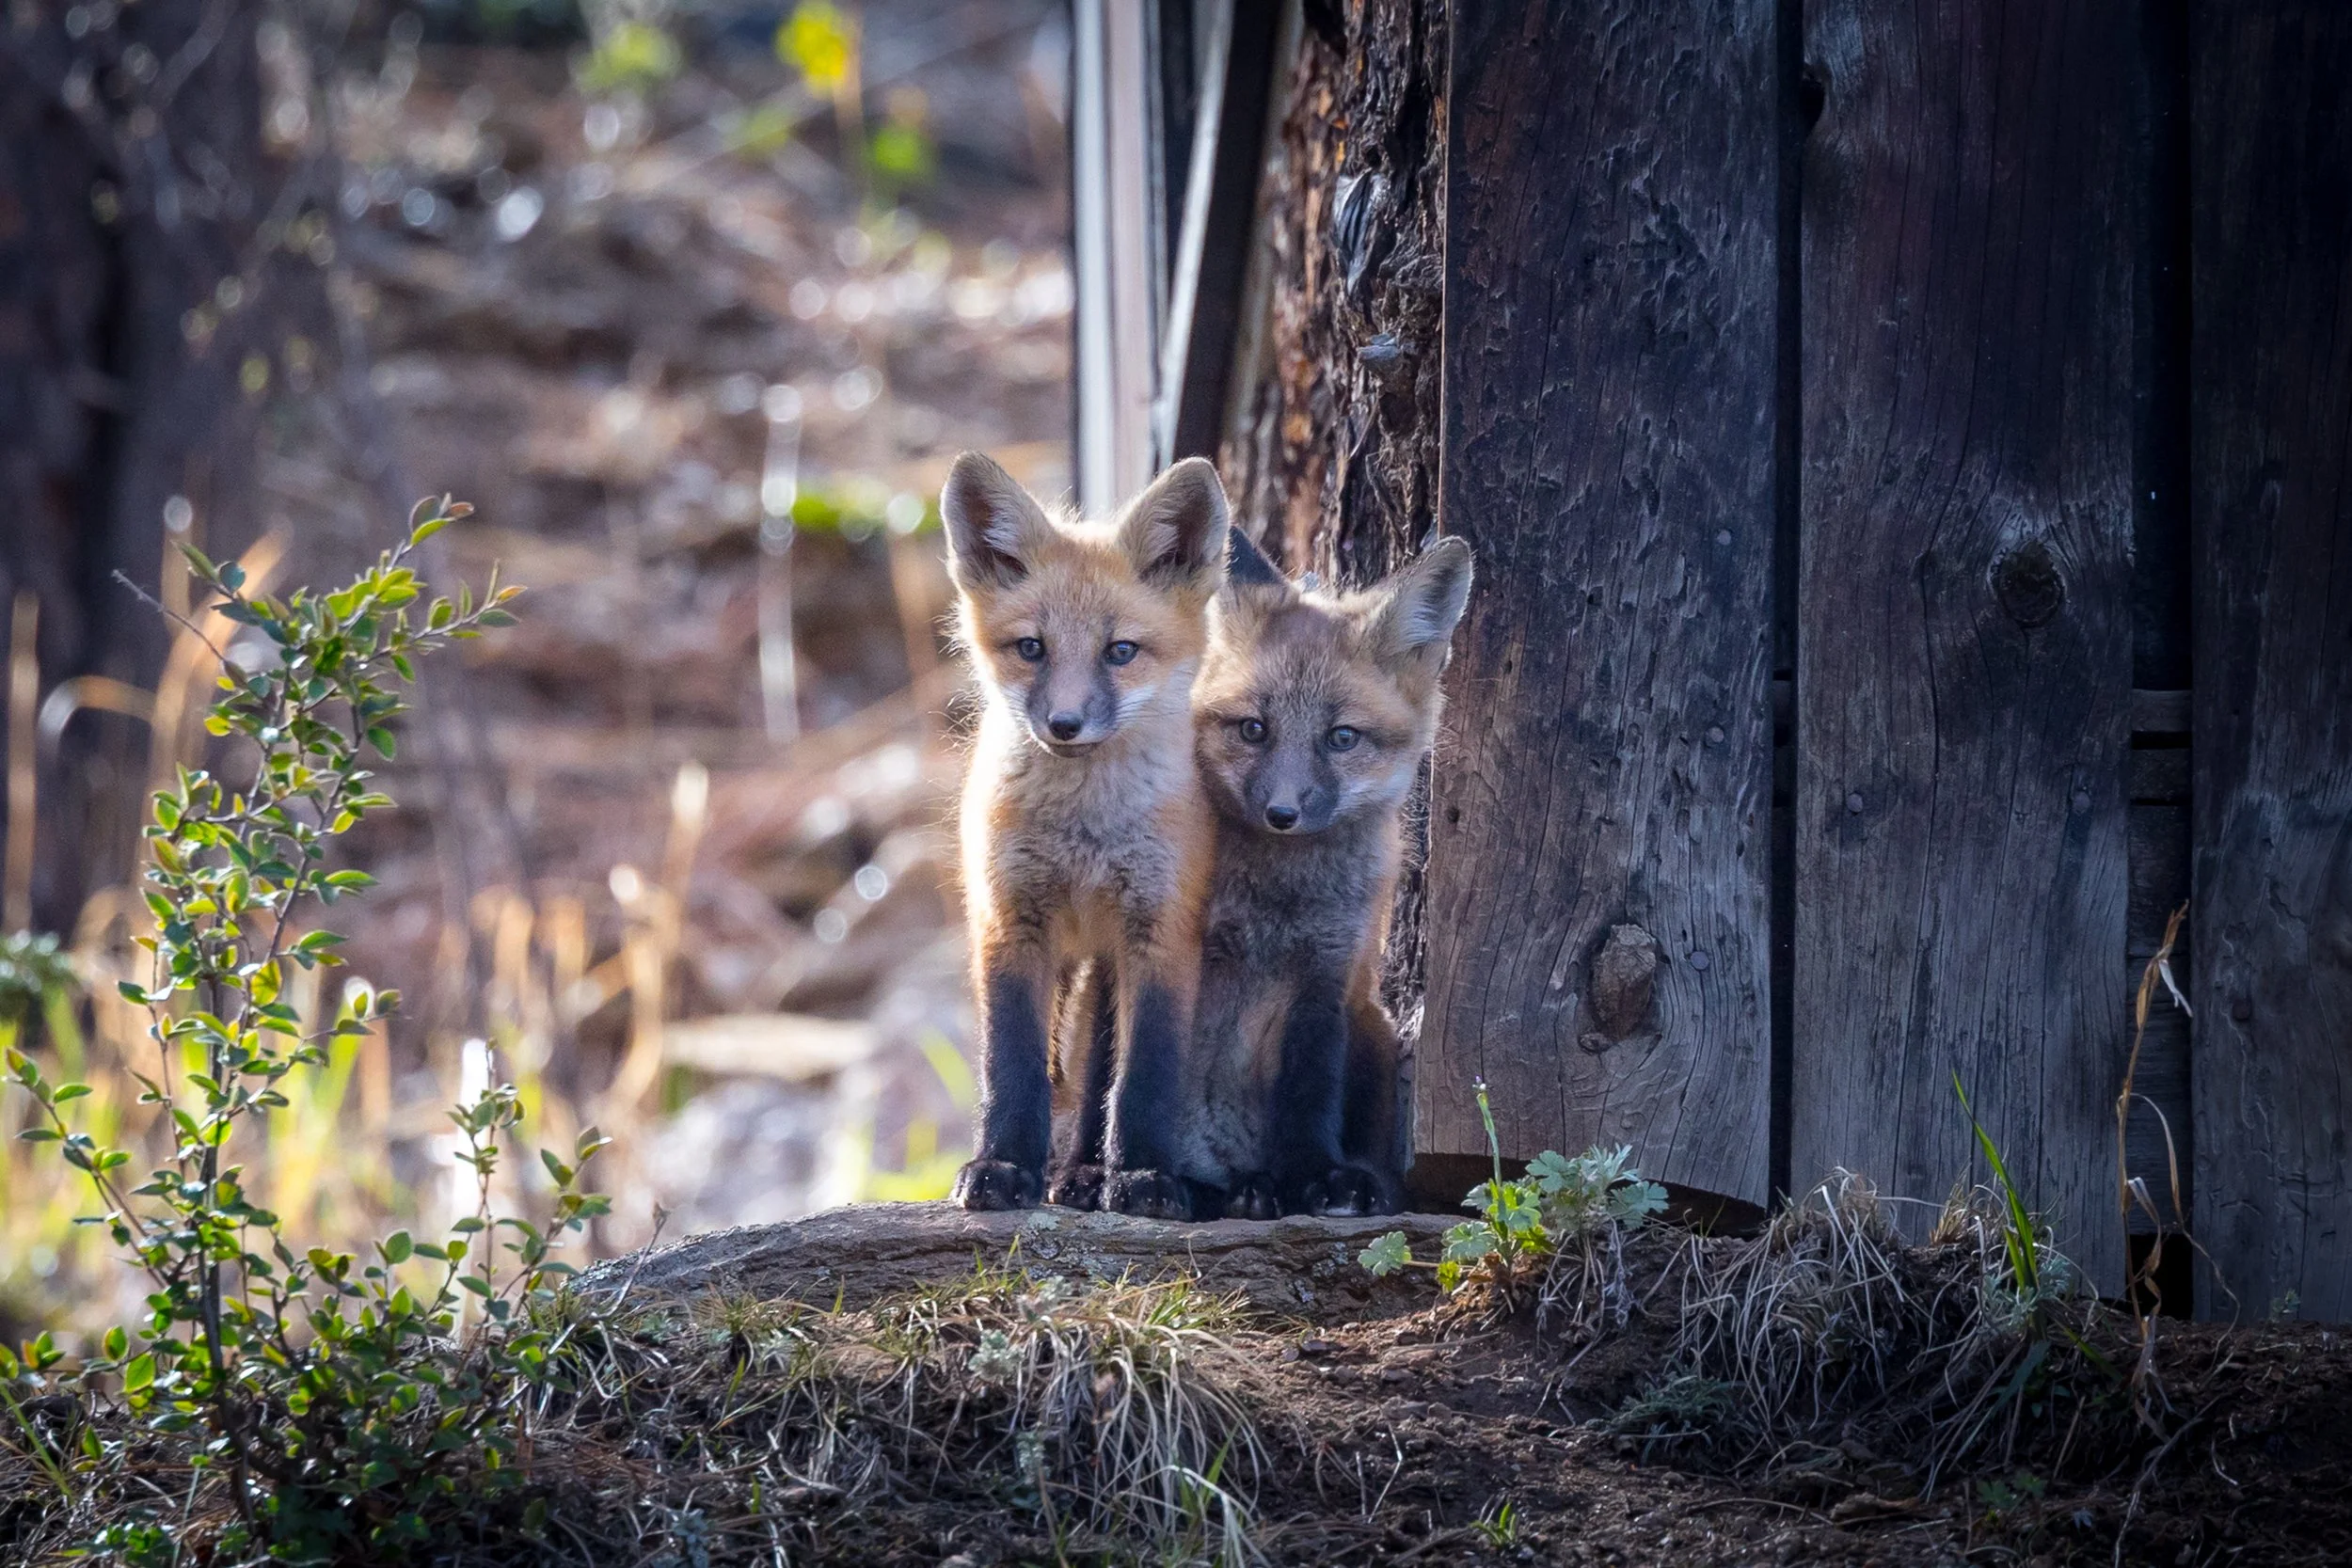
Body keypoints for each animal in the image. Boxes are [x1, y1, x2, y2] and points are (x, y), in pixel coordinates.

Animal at [939, 450, 1230, 1219]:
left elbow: (1144, 1077)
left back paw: (1087, 1174)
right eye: (1031, 648)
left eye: (1121, 651)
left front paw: (1143, 1176)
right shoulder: (1010, 921)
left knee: (1100, 1075)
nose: (1064, 724)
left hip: (1107, 964)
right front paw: (1002, 1164)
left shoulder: (1161, 931)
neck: (1084, 836)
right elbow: (1013, 1066)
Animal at [1177, 525, 1475, 1218]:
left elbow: (1308, 1093)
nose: (1282, 813)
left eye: (1342, 738)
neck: (1278, 898)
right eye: (1254, 729)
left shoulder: (1327, 975)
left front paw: (1313, 1176)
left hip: (1374, 1026)